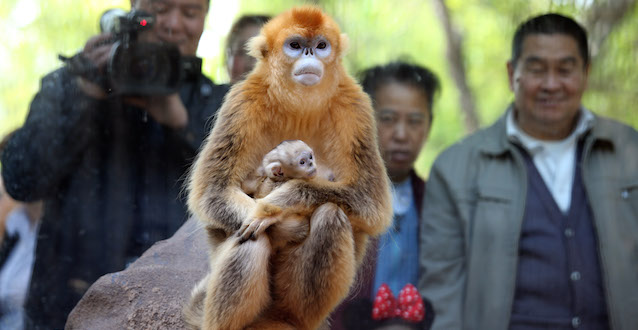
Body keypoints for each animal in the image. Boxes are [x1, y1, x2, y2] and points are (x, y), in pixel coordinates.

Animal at [185, 5, 396, 330]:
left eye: (321, 45)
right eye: (295, 45)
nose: (309, 54)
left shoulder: (355, 106)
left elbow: (371, 202)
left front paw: (276, 205)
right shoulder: (242, 100)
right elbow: (212, 192)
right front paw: (282, 222)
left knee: (330, 213)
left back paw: (289, 318)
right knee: (251, 237)